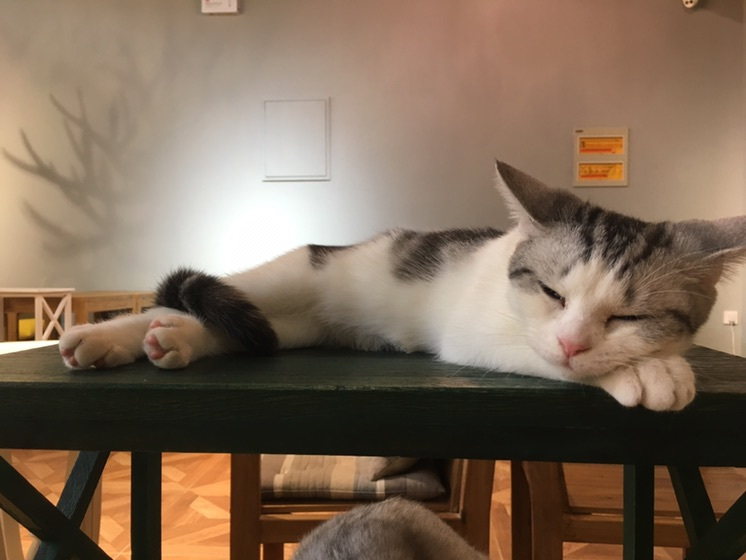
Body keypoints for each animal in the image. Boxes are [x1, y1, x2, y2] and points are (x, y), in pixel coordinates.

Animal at [59, 160, 746, 411]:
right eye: (553, 295)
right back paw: (110, 337)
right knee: (197, 298)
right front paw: (647, 371)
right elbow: (540, 355)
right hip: (290, 275)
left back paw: (172, 338)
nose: (576, 342)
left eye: (629, 317)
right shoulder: (476, 335)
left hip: (288, 325)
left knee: (240, 329)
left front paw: (653, 361)